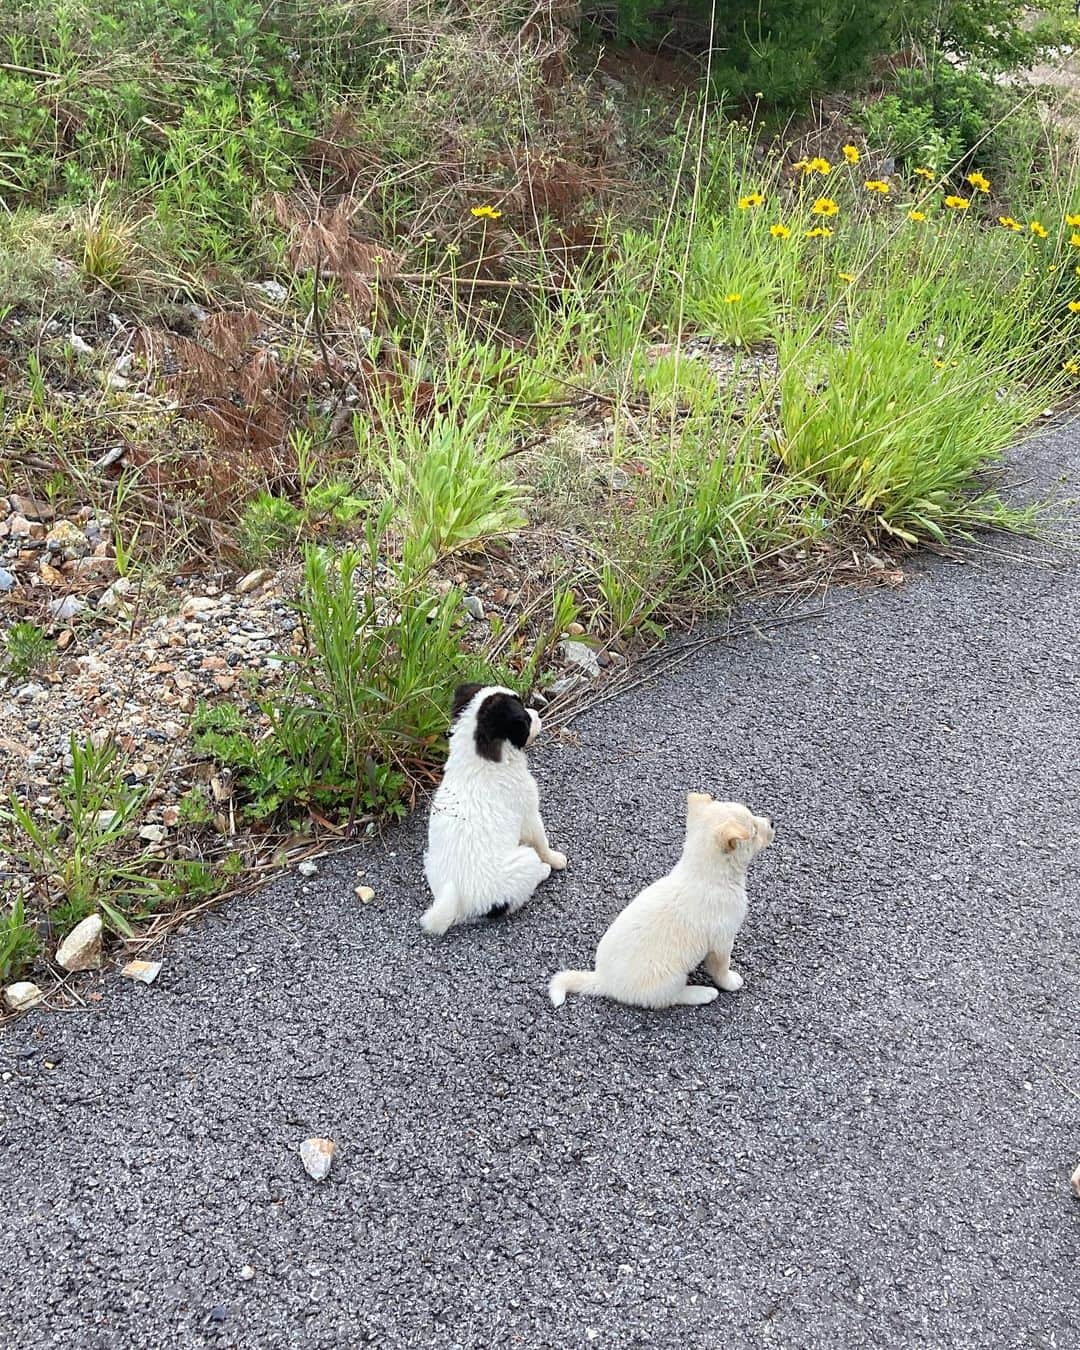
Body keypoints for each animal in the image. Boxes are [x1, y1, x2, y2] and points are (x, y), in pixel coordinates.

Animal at [418, 685, 564, 939]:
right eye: (526, 720)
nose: (537, 714)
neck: (478, 759)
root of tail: (458, 903)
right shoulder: (530, 814)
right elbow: (542, 843)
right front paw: (555, 860)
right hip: (524, 860)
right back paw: (543, 870)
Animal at [553, 793, 772, 1009]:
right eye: (754, 830)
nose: (772, 822)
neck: (706, 875)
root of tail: (603, 980)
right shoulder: (722, 941)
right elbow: (721, 969)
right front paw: (731, 982)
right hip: (670, 978)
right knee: (671, 998)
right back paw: (702, 993)